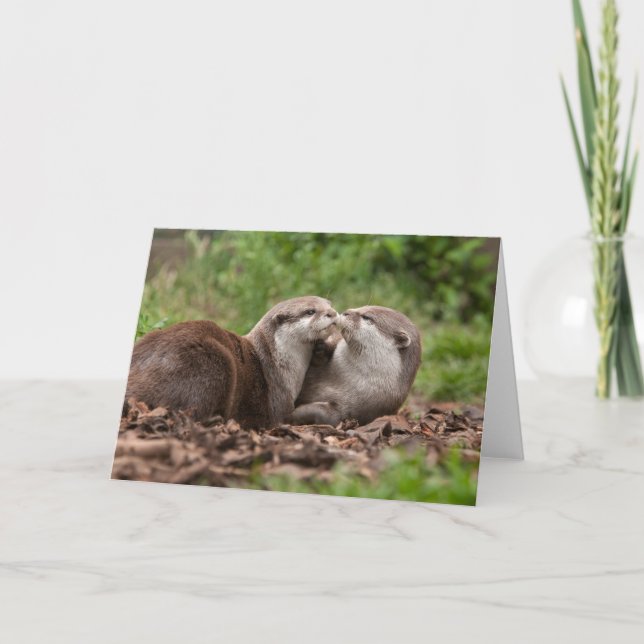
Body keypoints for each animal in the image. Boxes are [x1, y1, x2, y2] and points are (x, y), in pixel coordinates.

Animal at [291, 305, 421, 426]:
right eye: (363, 306)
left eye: (367, 317)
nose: (346, 312)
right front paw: (320, 348)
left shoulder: (365, 408)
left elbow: (328, 416)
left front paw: (295, 414)